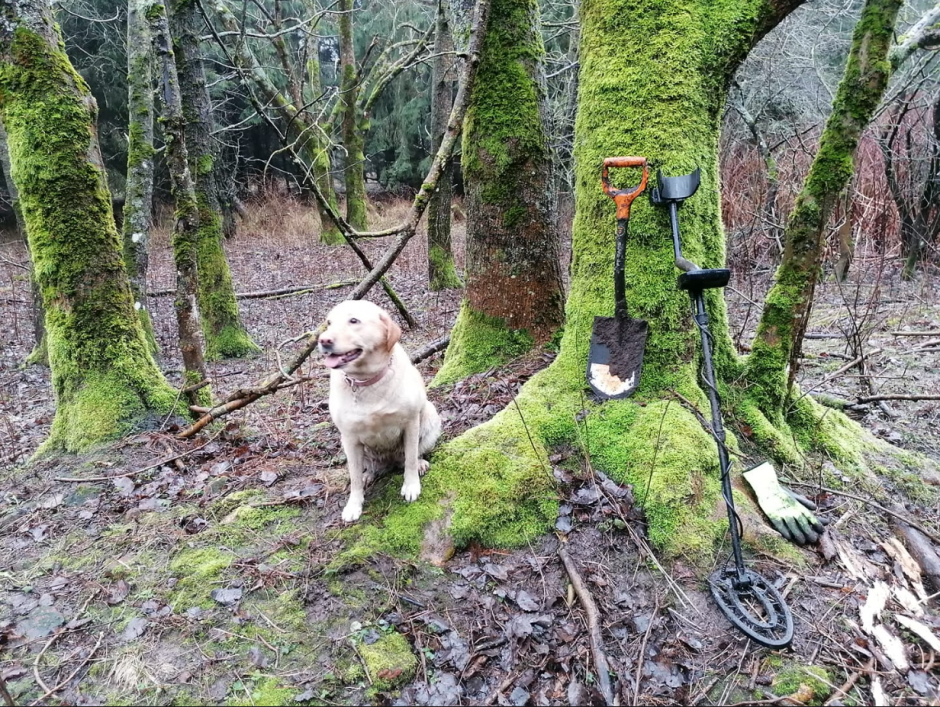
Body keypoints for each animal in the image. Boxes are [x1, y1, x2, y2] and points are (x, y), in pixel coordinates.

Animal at [318, 298, 442, 520]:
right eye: (329, 323)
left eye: (353, 320)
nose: (323, 340)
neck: (366, 381)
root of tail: (389, 461)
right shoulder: (349, 437)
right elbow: (354, 476)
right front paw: (354, 505)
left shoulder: (410, 423)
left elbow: (410, 459)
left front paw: (411, 486)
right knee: (368, 468)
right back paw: (369, 475)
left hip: (429, 415)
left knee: (410, 456)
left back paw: (419, 463)